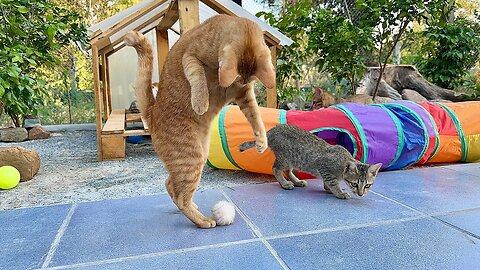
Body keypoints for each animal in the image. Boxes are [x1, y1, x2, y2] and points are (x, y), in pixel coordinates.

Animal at [124, 14, 274, 229]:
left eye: (244, 81)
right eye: (237, 79)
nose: (235, 83)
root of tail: (152, 113)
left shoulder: (244, 95)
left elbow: (256, 116)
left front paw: (261, 141)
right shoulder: (191, 56)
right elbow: (197, 76)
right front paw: (201, 102)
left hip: (199, 156)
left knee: (171, 186)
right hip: (191, 159)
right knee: (180, 197)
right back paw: (203, 221)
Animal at [240, 124, 382, 198]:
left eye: (368, 185)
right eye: (354, 184)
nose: (361, 194)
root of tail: (272, 130)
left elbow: (328, 183)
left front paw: (329, 189)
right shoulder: (324, 168)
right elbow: (332, 182)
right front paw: (339, 193)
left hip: (293, 159)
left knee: (287, 170)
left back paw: (297, 181)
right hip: (284, 157)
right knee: (276, 168)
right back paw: (285, 183)